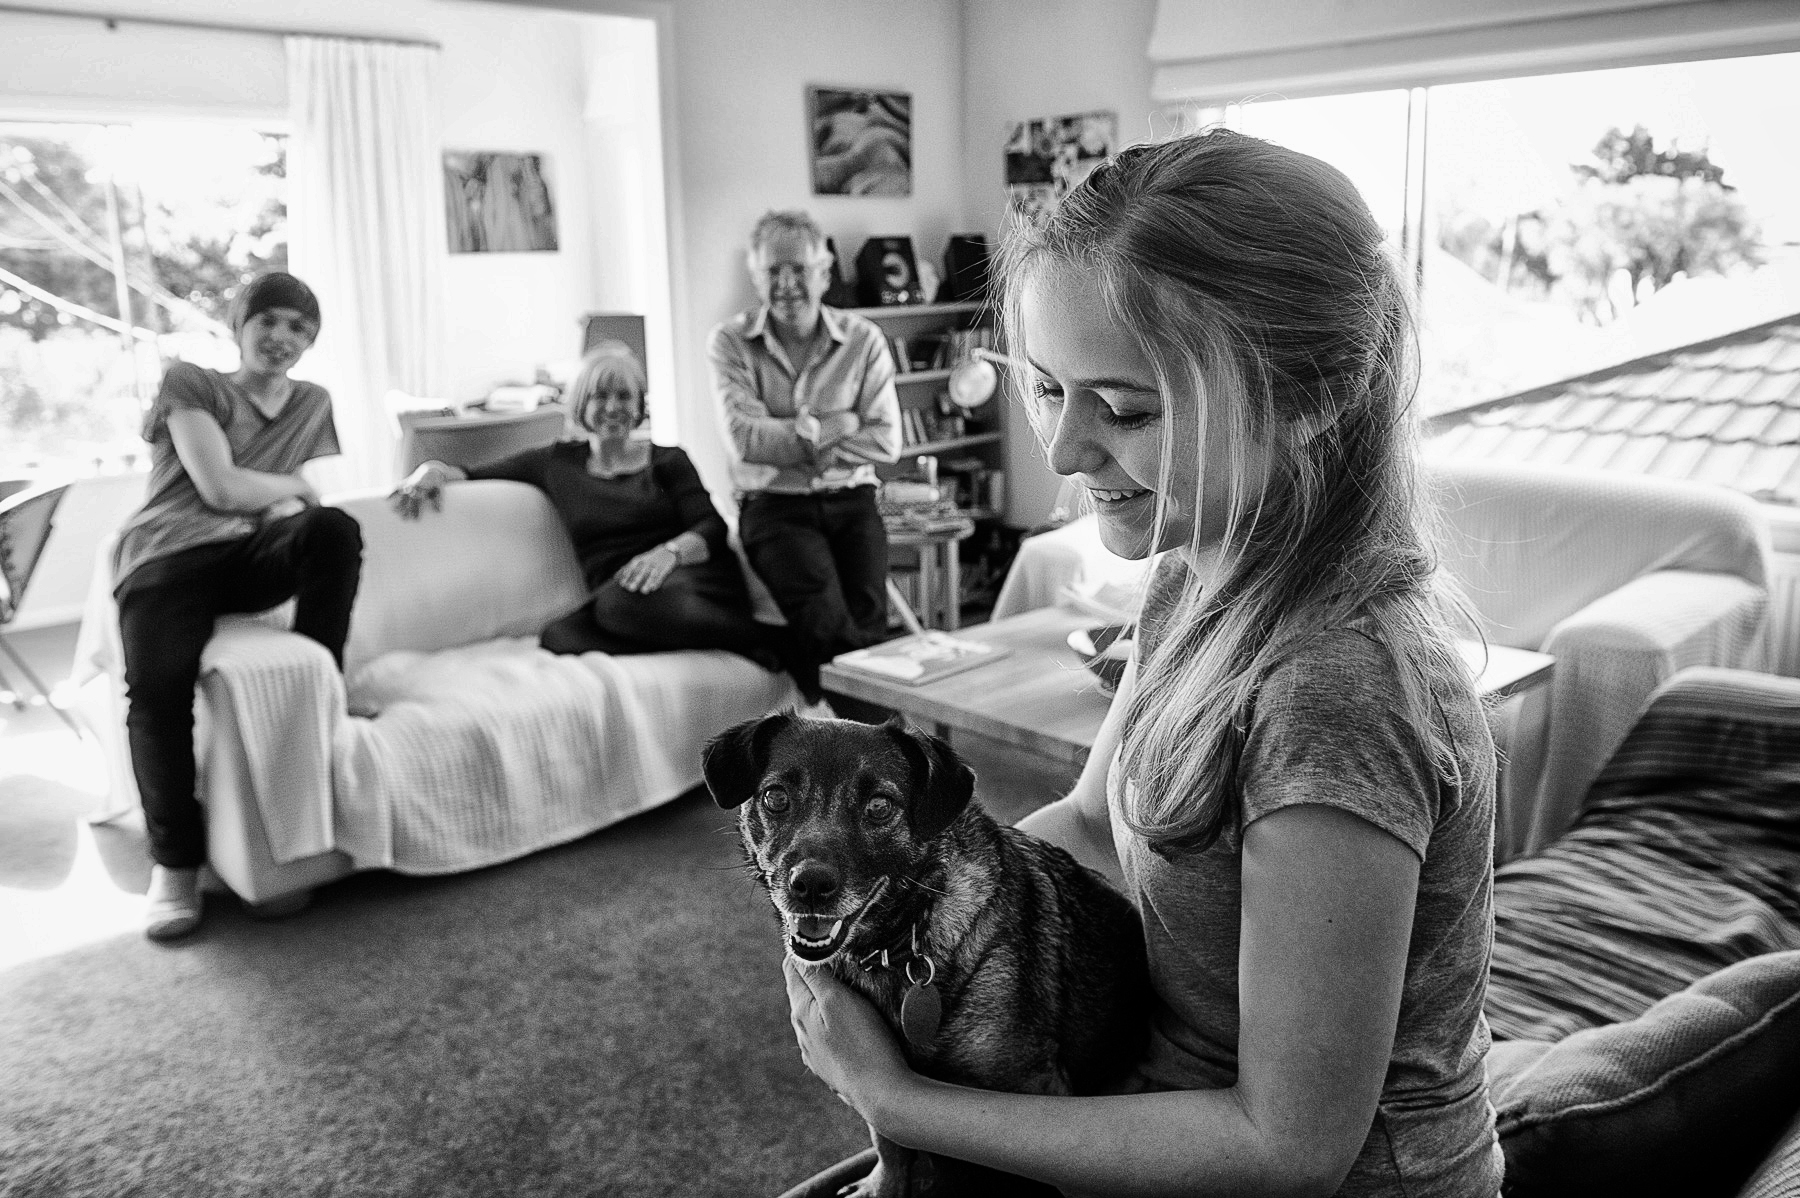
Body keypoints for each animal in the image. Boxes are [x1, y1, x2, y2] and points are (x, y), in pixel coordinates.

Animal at [703, 712, 1150, 1198]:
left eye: (880, 806)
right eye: (776, 797)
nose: (811, 885)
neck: (892, 945)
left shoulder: (1038, 1085)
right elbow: (888, 1135)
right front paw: (883, 1185)